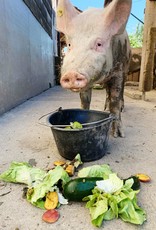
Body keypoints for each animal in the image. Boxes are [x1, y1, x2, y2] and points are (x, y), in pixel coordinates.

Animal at [56, 0, 132, 137]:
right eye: (69, 45)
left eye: (99, 44)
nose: (71, 74)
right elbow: (85, 100)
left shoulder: (119, 71)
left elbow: (115, 100)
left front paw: (118, 134)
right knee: (107, 92)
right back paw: (105, 108)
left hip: (126, 71)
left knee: (119, 94)